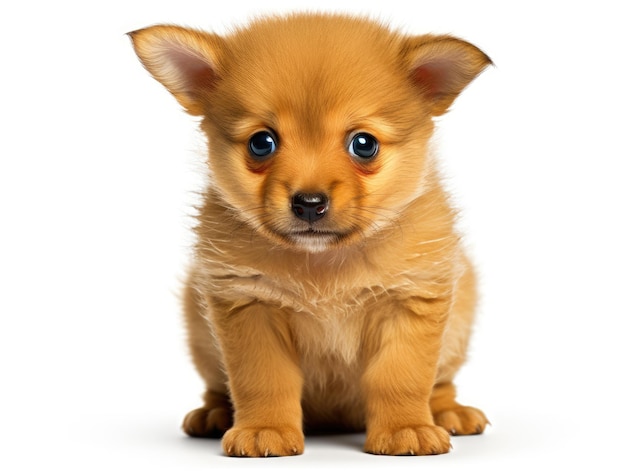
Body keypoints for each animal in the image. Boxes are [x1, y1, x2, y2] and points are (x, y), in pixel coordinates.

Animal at [129, 13, 490, 458]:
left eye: (364, 144)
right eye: (261, 143)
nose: (309, 203)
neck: (322, 263)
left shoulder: (409, 303)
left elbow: (400, 377)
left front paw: (406, 427)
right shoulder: (250, 307)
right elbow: (263, 381)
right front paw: (263, 428)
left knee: (441, 383)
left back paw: (449, 413)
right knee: (218, 387)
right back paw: (213, 415)